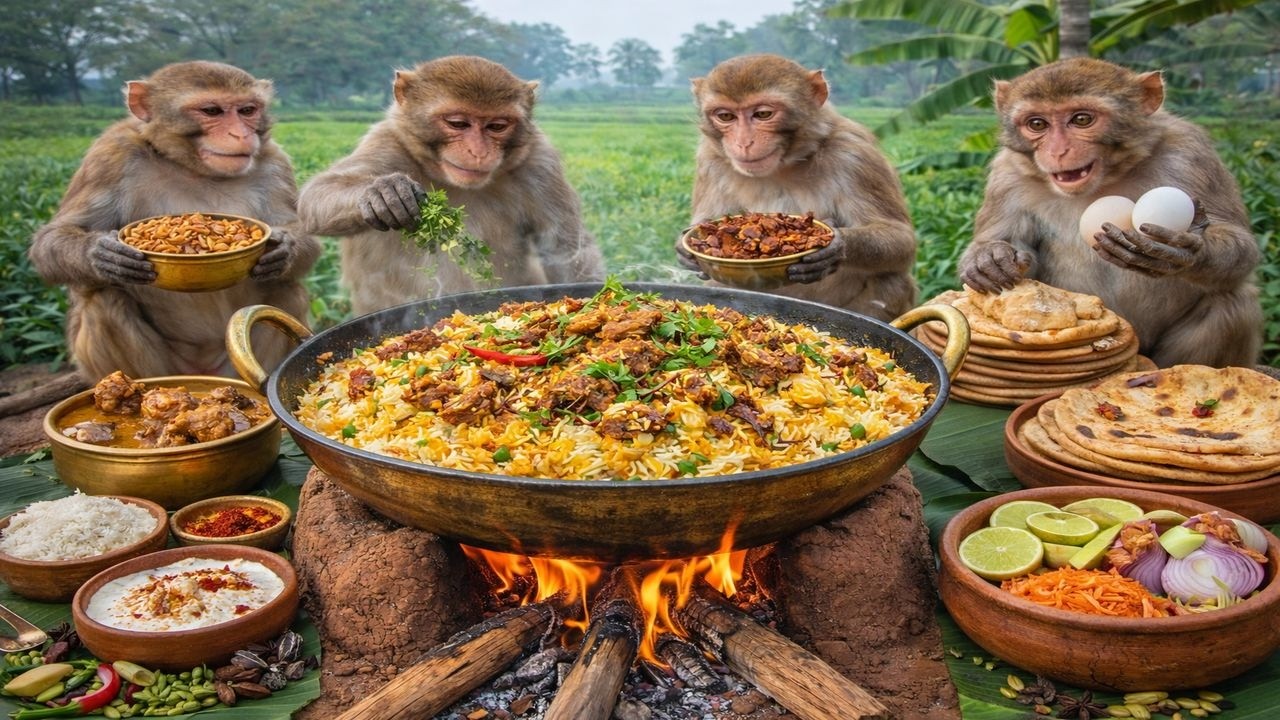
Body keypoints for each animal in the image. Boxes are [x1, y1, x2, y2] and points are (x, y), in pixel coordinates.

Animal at [28, 60, 320, 381]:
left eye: (247, 110)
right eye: (212, 111)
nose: (241, 135)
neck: (192, 168)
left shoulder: (274, 162)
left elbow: (303, 236)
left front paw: (281, 249)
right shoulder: (110, 156)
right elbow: (54, 237)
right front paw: (104, 255)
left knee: (285, 288)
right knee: (104, 298)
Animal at [297, 55, 604, 315]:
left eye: (496, 126)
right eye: (458, 123)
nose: (478, 152)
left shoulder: (540, 162)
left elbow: (564, 248)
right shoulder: (387, 145)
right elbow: (318, 196)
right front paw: (383, 193)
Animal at [677, 53, 918, 323]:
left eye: (763, 114)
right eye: (726, 116)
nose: (743, 143)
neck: (784, 165)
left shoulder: (854, 154)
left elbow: (900, 239)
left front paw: (836, 245)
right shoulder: (709, 159)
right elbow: (704, 220)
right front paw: (684, 249)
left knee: (891, 281)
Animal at [959, 57, 1262, 368]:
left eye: (1081, 119)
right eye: (1037, 124)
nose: (1057, 152)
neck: (1106, 180)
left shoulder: (1191, 154)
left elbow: (1241, 245)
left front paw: (1184, 250)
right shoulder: (1007, 176)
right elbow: (1016, 255)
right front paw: (989, 259)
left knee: (1231, 302)